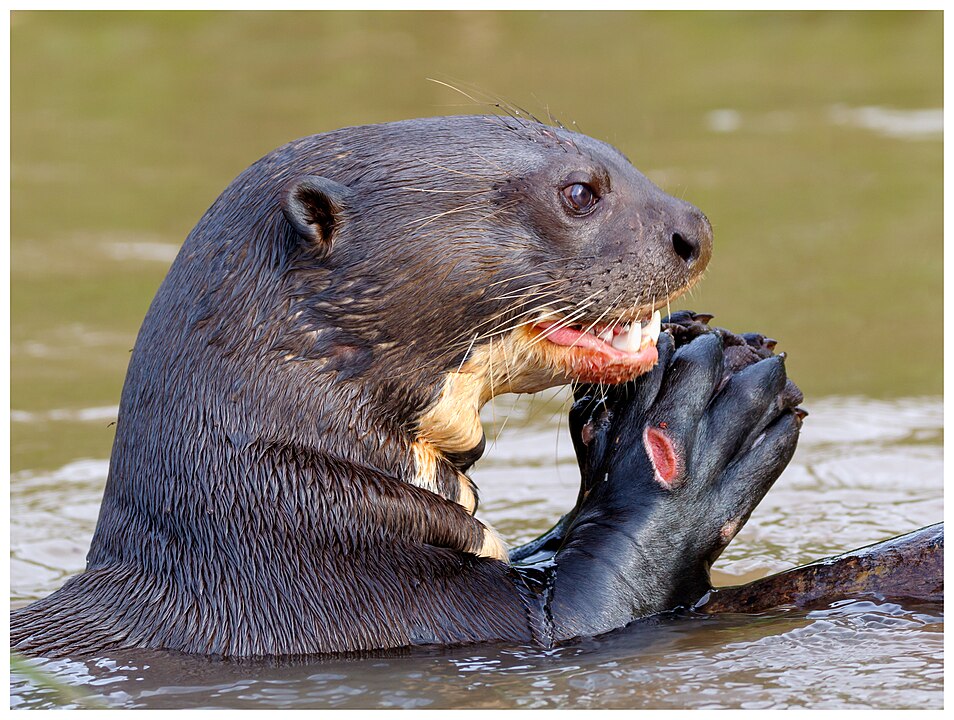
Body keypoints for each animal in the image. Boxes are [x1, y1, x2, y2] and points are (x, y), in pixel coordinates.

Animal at [11, 115, 920, 660]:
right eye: (580, 192)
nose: (693, 231)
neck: (269, 527)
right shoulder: (376, 610)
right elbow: (598, 605)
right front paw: (696, 426)